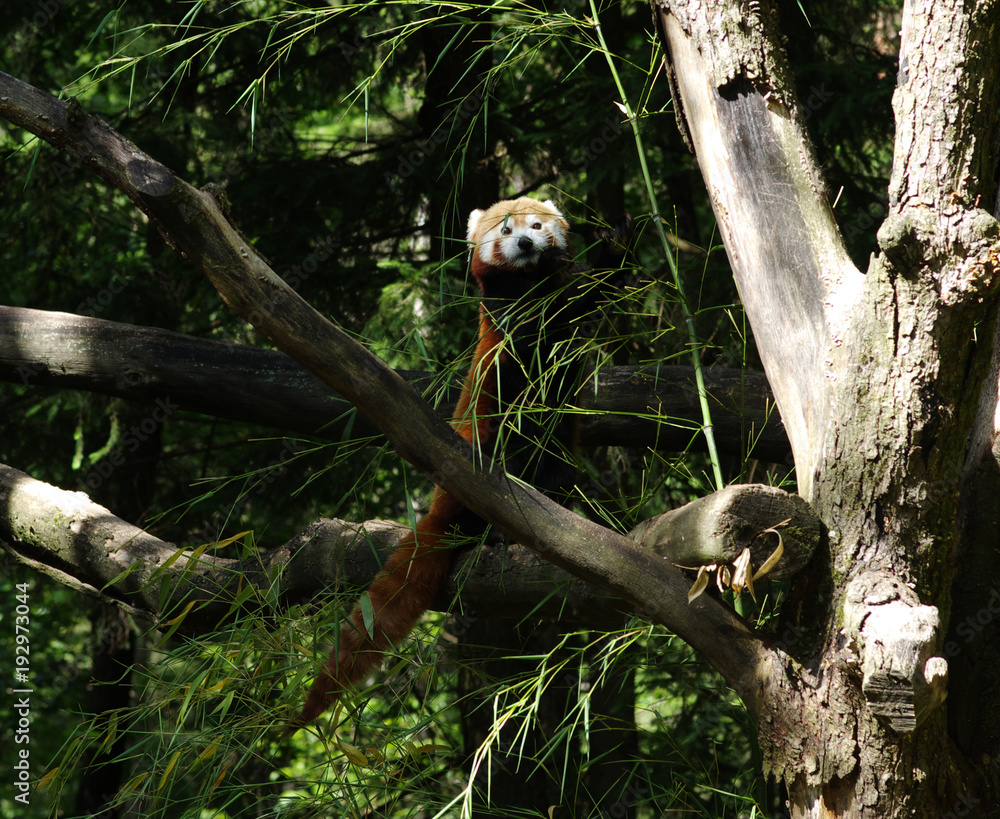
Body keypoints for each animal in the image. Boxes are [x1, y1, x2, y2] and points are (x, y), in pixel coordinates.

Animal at [290, 199, 632, 732]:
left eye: (536, 225)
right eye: (506, 231)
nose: (527, 243)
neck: (530, 284)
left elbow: (590, 299)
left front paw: (613, 247)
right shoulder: (503, 326)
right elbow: (529, 338)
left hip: (554, 450)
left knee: (554, 471)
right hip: (485, 450)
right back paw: (498, 533)